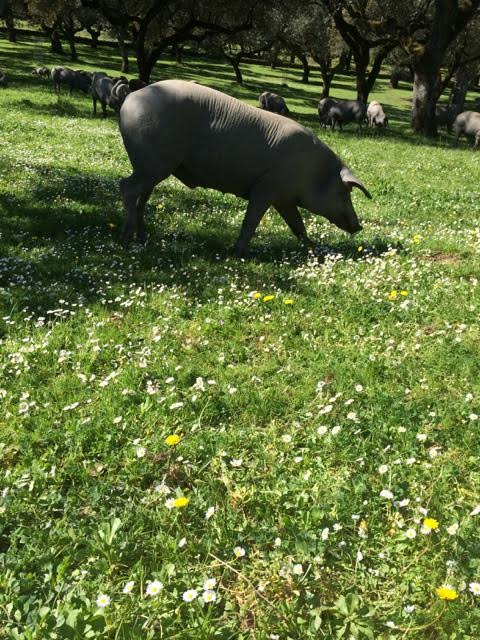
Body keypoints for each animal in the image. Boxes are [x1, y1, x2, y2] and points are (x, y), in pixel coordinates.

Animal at [119, 80, 371, 255]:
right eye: (344, 193)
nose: (358, 226)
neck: (312, 172)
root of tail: (131, 98)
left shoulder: (285, 198)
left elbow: (298, 225)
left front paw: (312, 249)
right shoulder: (266, 187)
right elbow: (251, 220)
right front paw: (240, 253)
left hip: (153, 168)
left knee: (142, 197)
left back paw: (143, 238)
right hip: (152, 164)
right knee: (125, 187)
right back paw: (127, 239)